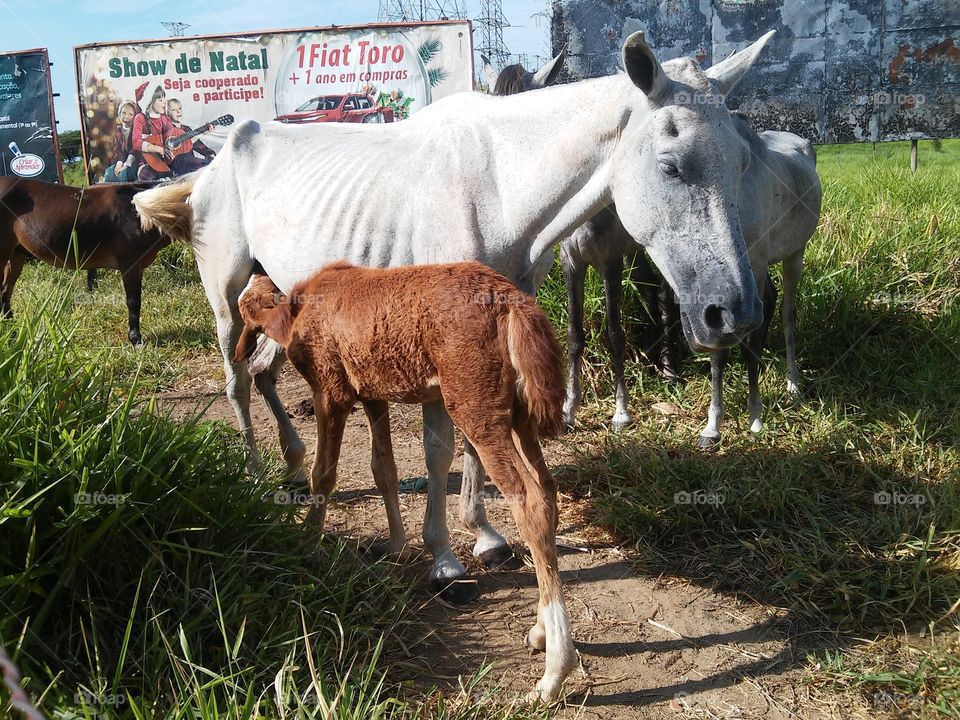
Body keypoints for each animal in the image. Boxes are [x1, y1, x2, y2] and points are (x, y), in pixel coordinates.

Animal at [0, 177, 167, 344]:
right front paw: (135, 338)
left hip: (17, 253)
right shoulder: (130, 263)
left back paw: (13, 329)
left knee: (5, 290)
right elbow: (133, 301)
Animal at [234, 260, 576, 704]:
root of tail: (514, 305)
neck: (297, 310)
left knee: (529, 501)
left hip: (476, 406)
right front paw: (395, 546)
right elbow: (384, 468)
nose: (242, 352)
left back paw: (554, 673)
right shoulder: (372, 391)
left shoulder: (332, 390)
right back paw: (540, 631)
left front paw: (307, 540)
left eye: (243, 314)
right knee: (547, 490)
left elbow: (323, 473)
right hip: (519, 413)